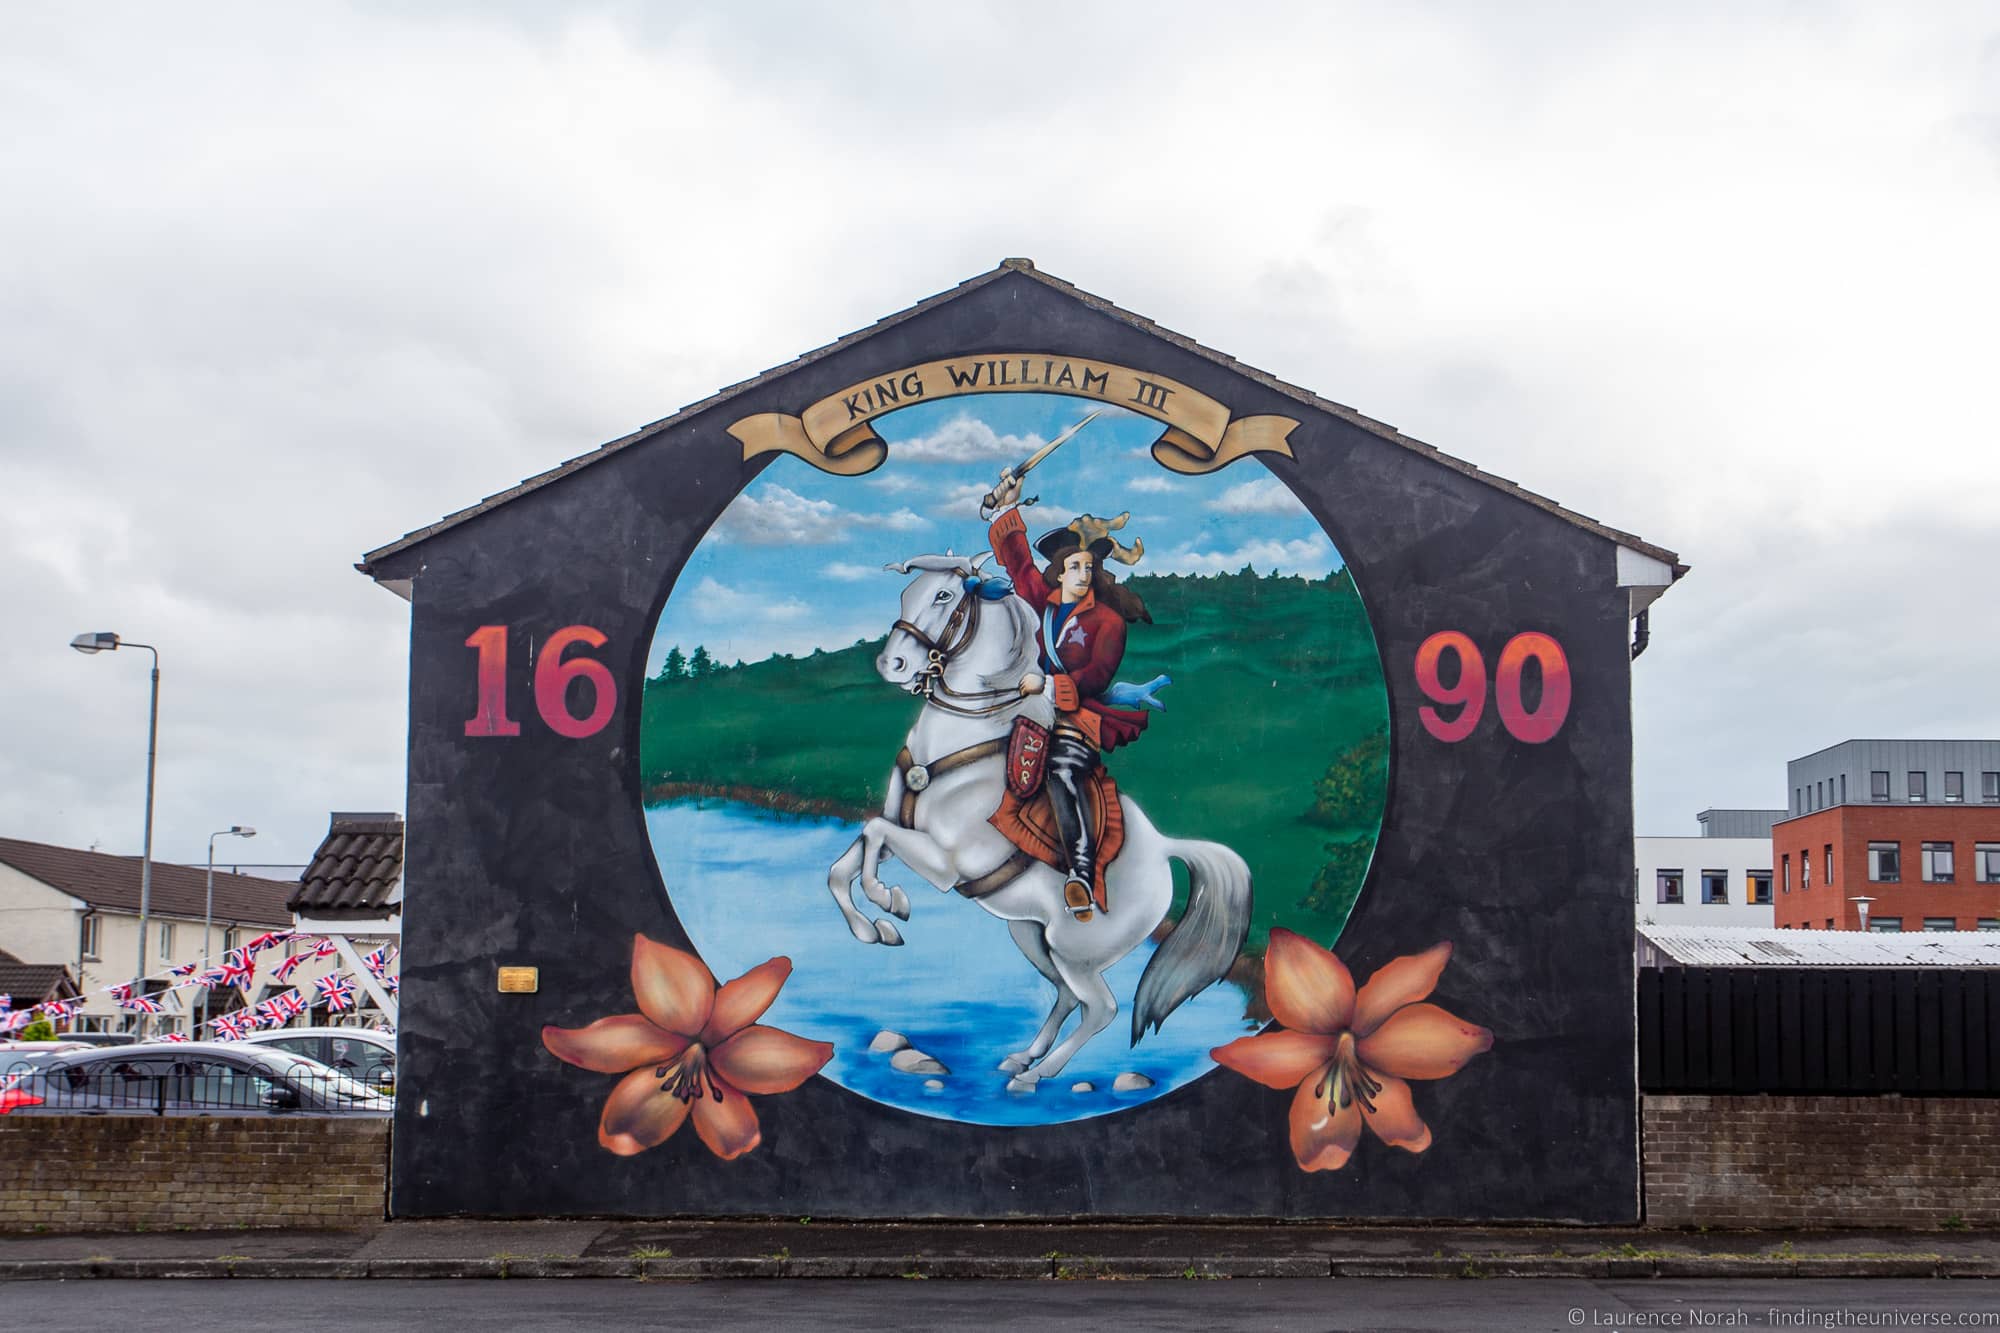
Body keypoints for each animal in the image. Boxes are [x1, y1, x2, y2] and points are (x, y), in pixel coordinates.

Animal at [820, 548, 1240, 1088]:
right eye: (906, 593)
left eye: (943, 595)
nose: (891, 664)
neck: (962, 740)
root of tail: (1165, 848)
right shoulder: (903, 832)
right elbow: (846, 862)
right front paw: (871, 929)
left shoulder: (945, 862)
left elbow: (870, 839)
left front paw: (890, 902)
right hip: (1031, 935)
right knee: (1065, 995)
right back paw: (1023, 1057)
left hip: (1075, 950)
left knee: (1099, 1007)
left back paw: (1037, 1075)